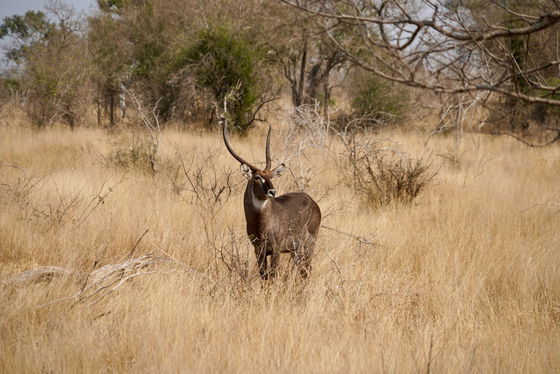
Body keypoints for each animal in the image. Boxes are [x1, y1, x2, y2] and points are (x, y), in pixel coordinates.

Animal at [222, 118, 322, 280]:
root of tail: (312, 201)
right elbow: (264, 276)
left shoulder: (275, 250)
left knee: (306, 270)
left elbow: (273, 276)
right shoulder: (259, 251)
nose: (272, 191)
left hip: (308, 245)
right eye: (257, 177)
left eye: (270, 176)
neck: (260, 224)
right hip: (295, 250)